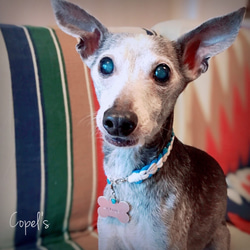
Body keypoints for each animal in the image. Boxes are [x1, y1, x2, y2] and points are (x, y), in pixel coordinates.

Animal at [51, 0, 246, 249]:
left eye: (162, 72)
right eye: (105, 64)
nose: (118, 121)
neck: (128, 176)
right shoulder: (108, 240)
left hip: (221, 234)